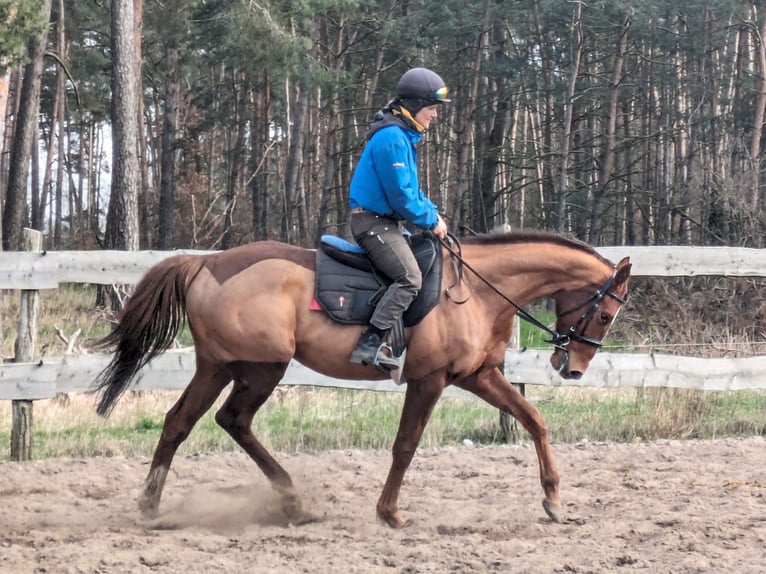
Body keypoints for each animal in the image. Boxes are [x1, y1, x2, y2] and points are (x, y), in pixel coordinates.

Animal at [91, 232, 632, 528]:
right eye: (607, 315)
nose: (573, 367)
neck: (477, 291)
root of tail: (206, 262)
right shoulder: (430, 380)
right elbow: (406, 446)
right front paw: (389, 512)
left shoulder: (477, 376)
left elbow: (535, 421)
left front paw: (553, 500)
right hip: (257, 368)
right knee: (223, 420)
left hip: (224, 367)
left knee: (187, 422)